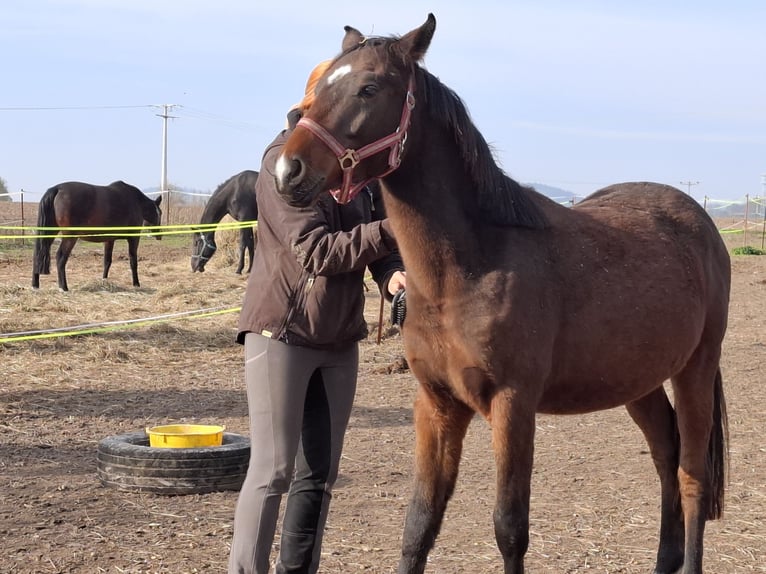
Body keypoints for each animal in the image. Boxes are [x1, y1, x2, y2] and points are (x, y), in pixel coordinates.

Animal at [31, 181, 162, 292]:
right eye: (160, 213)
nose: (159, 235)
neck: (136, 202)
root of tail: (57, 189)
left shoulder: (109, 240)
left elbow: (107, 261)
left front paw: (104, 281)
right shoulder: (134, 238)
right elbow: (133, 261)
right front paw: (136, 284)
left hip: (50, 233)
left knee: (38, 255)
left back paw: (35, 285)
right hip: (70, 237)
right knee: (60, 258)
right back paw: (63, 288)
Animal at [274, 13, 732, 574]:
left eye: (369, 88)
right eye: (316, 90)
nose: (288, 172)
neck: (467, 268)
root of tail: (700, 223)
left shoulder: (513, 406)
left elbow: (509, 527)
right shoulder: (437, 404)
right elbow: (419, 523)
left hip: (696, 368)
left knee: (692, 472)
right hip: (639, 379)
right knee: (667, 454)